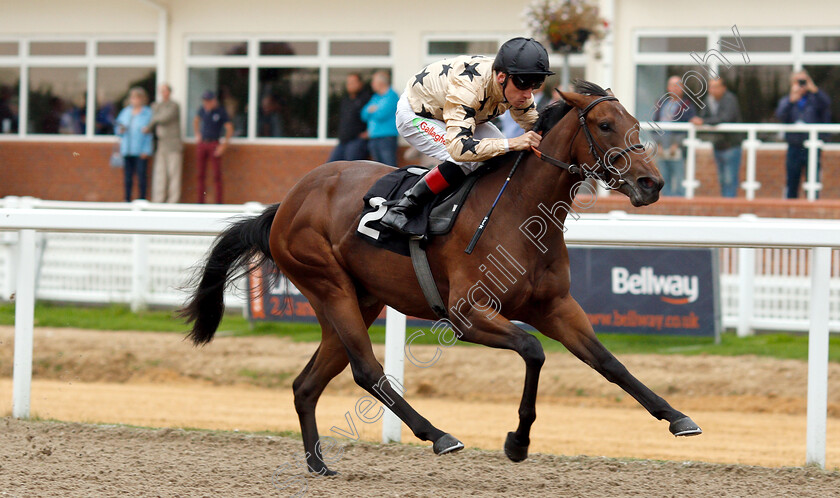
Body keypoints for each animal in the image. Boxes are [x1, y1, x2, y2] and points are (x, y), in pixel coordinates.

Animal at [182, 80, 704, 474]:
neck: (521, 212)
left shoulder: (556, 307)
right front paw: (517, 442)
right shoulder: (466, 314)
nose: (651, 183)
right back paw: (437, 435)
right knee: (368, 370)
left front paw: (677, 417)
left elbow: (608, 362)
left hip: (358, 300)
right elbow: (533, 350)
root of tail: (288, 201)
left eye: (635, 124)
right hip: (328, 286)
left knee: (307, 383)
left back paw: (318, 464)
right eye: (604, 125)